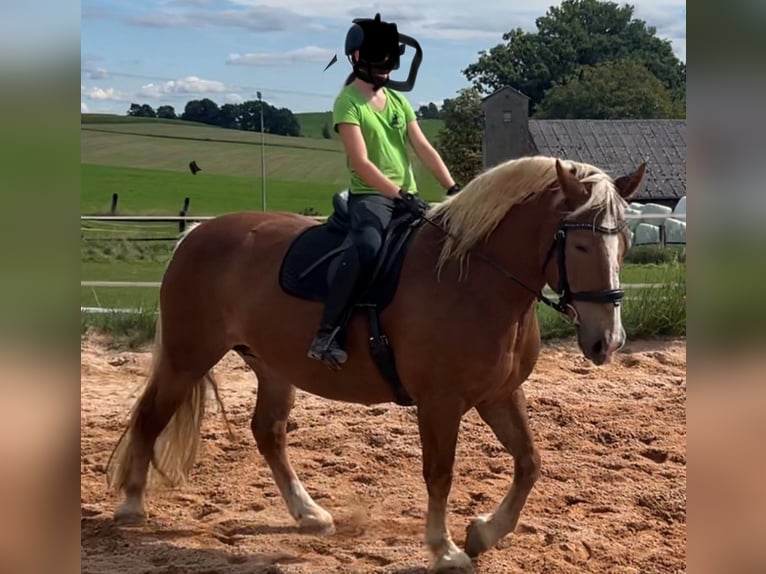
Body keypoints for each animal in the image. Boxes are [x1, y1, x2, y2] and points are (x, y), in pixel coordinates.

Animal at [105, 155, 645, 571]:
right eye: (580, 244)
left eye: (624, 243)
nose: (608, 341)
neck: (475, 279)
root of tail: (197, 235)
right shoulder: (440, 401)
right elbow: (440, 473)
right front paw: (445, 550)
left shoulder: (499, 394)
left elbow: (530, 463)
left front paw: (483, 533)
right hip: (187, 357)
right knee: (151, 416)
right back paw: (131, 504)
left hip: (273, 367)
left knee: (268, 433)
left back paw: (309, 514)